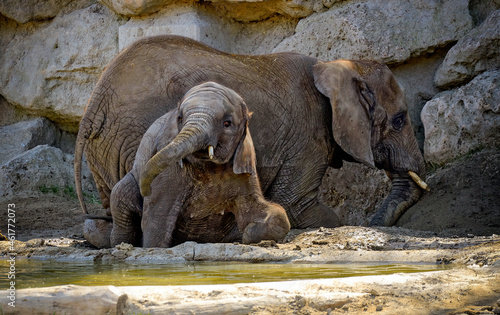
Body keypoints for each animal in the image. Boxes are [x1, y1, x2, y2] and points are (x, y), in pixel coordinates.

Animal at [74, 34, 426, 228]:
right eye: (399, 120)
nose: (372, 222)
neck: (336, 66)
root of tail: (95, 102)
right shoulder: (307, 136)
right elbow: (297, 205)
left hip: (107, 146)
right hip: (133, 133)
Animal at [84, 81, 292, 249]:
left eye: (227, 123)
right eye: (180, 118)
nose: (145, 189)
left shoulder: (243, 165)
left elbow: (272, 213)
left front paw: (248, 234)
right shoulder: (168, 170)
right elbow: (157, 217)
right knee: (120, 195)